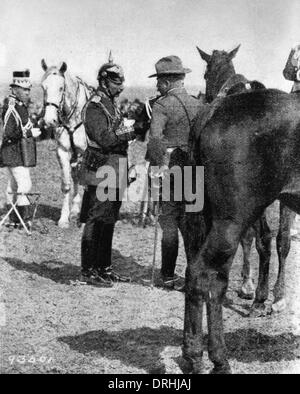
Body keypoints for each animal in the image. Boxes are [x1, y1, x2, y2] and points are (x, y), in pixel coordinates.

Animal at [40, 60, 93, 229]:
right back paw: (75, 209)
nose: (49, 120)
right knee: (75, 175)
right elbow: (66, 184)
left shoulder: (84, 152)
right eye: (43, 87)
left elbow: (84, 181)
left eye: (61, 88)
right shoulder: (63, 151)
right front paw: (64, 218)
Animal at [184, 45, 300, 372]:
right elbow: (264, 241)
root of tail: (216, 110)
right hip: (230, 222)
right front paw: (259, 296)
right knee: (206, 275)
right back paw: (210, 357)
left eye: (205, 73)